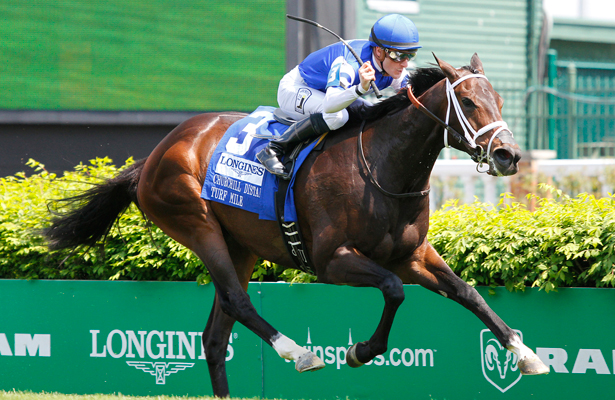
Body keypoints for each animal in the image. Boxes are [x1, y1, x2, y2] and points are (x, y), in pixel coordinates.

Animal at [44, 54, 548, 396]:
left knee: (215, 335)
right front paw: (359, 351)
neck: (385, 166)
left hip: (241, 246)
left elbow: (468, 292)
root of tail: (153, 155)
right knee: (237, 301)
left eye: (498, 99)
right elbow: (392, 290)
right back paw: (298, 353)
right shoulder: (332, 261)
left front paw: (525, 353)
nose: (509, 155)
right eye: (467, 100)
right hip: (197, 224)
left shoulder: (412, 255)